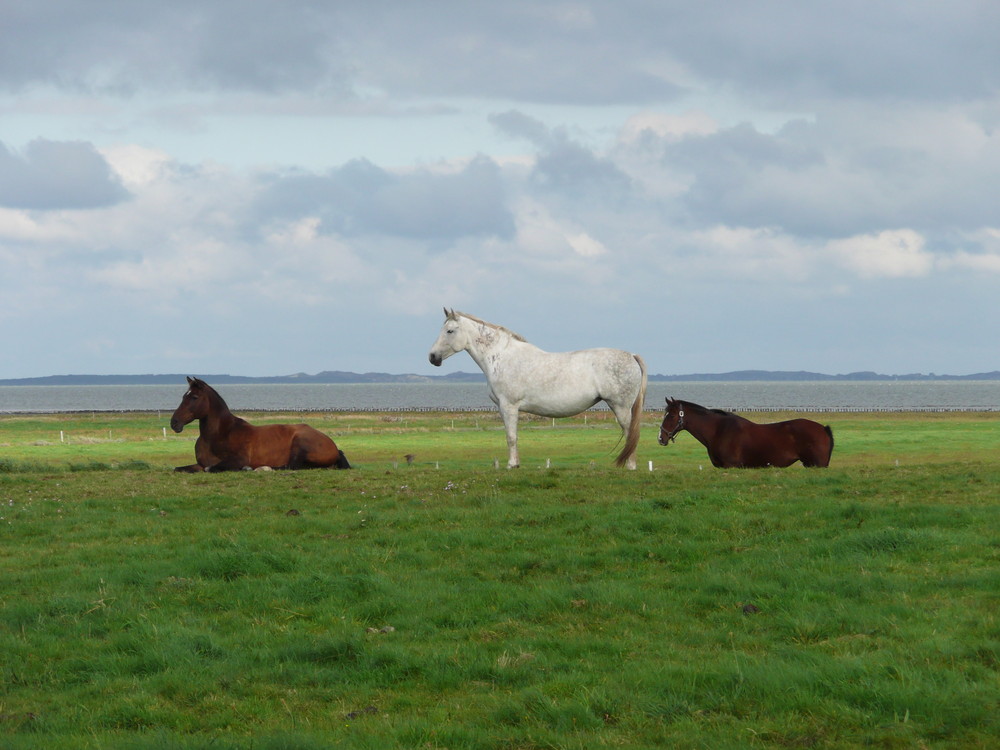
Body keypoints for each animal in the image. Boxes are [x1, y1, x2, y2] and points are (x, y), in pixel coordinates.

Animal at [168, 378, 348, 472]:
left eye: (194, 397)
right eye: (184, 396)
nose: (174, 422)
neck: (220, 434)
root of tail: (334, 447)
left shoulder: (237, 460)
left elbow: (211, 468)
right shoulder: (199, 464)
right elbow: (179, 468)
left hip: (300, 443)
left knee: (290, 466)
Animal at [428, 308, 648, 468]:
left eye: (449, 331)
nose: (432, 357)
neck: (502, 357)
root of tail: (631, 355)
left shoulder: (509, 406)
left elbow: (511, 436)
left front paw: (512, 465)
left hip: (620, 407)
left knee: (630, 434)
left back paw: (630, 466)